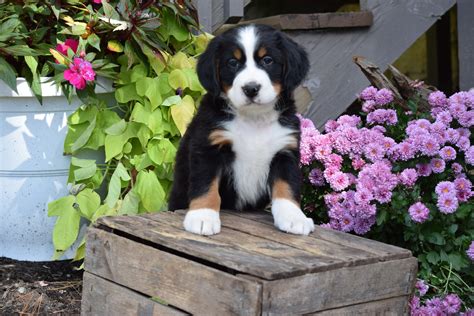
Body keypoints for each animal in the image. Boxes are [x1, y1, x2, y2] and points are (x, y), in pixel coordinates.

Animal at [169, 24, 314, 235]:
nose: (251, 88)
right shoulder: (207, 147)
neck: (254, 119)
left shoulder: (285, 151)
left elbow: (286, 186)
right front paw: (203, 216)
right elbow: (206, 185)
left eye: (267, 60)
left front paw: (294, 218)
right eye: (232, 62)